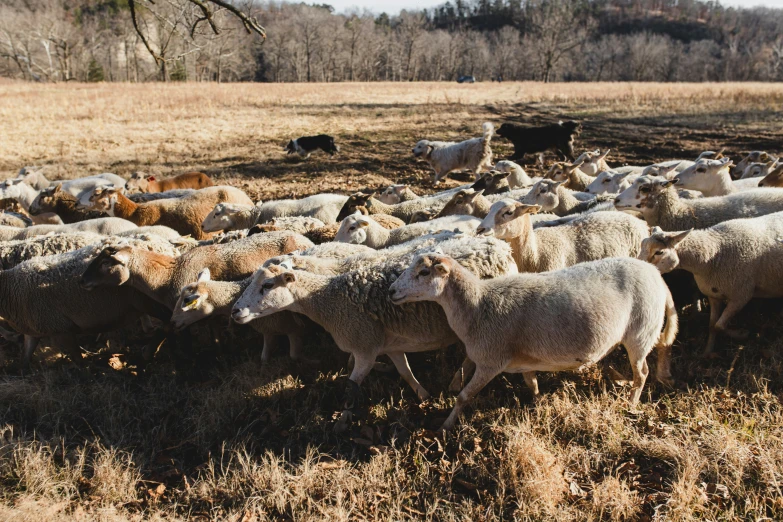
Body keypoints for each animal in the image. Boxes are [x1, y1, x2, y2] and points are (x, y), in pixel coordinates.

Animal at [172, 268, 318, 362]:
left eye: (187, 301)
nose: (172, 322)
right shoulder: (269, 329)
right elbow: (264, 358)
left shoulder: (294, 329)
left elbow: (294, 356)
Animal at [390, 252, 680, 426]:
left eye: (424, 273)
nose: (391, 291)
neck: (478, 305)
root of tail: (656, 276)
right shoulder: (523, 361)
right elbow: (532, 384)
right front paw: (539, 404)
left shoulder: (490, 361)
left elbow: (463, 397)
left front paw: (446, 425)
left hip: (640, 333)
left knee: (642, 373)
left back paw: (631, 403)